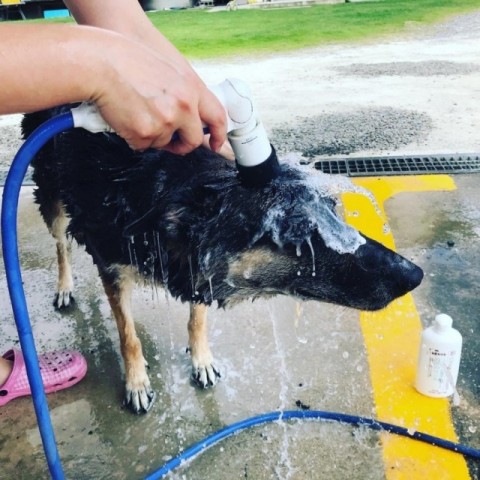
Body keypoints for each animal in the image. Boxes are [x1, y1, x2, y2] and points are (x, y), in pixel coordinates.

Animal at [22, 108, 422, 412]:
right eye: (296, 232)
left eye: (331, 209)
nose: (415, 274)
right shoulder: (114, 266)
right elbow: (128, 336)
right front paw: (136, 382)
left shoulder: (200, 266)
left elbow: (196, 320)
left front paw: (201, 361)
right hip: (53, 200)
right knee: (61, 246)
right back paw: (64, 287)